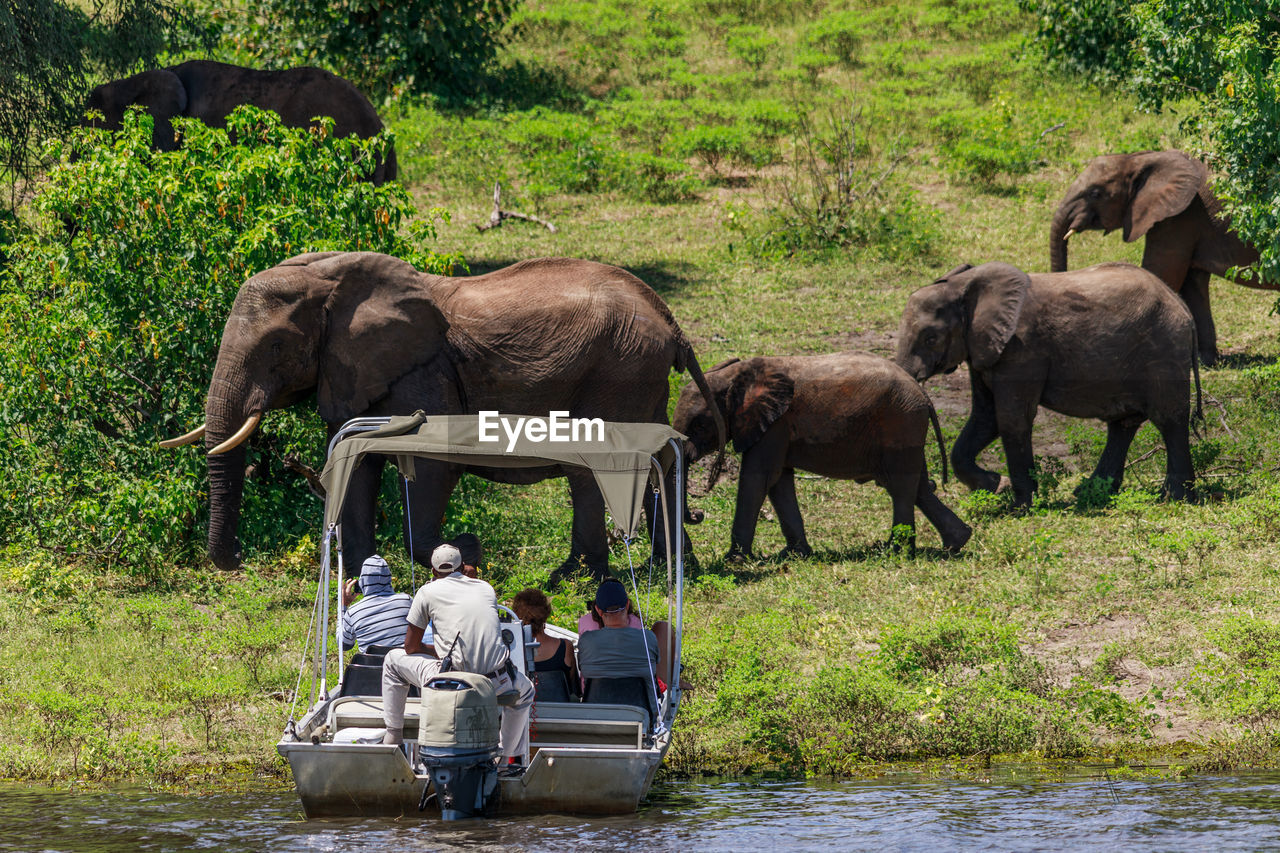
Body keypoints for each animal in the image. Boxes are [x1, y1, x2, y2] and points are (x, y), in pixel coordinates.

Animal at [161, 249, 727, 573]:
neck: (331, 282)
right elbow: (356, 463)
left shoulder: (421, 374)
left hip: (620, 368)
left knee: (598, 467)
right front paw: (362, 575)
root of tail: (670, 319)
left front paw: (464, 550)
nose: (235, 560)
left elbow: (431, 466)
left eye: (276, 346)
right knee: (653, 463)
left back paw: (578, 576)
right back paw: (670, 570)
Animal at [670, 350, 967, 558]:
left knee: (902, 486)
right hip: (906, 429)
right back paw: (956, 543)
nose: (698, 514)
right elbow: (778, 482)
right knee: (918, 487)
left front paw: (735, 559)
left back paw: (895, 550)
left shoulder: (775, 424)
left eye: (698, 425)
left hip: (901, 423)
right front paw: (795, 554)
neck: (736, 376)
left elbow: (758, 478)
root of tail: (925, 396)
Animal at [896, 261, 1203, 504]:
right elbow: (985, 418)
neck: (962, 286)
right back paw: (1091, 494)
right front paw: (998, 486)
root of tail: (1182, 307)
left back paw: (1176, 498)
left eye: (930, 338)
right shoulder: (982, 350)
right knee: (1123, 424)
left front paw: (1019, 506)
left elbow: (1011, 419)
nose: (935, 484)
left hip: (1164, 351)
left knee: (1169, 419)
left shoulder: (1022, 349)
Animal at [1049, 149, 1269, 361]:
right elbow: (1193, 285)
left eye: (1095, 193)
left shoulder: (1181, 216)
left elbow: (1162, 273)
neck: (1141, 158)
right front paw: (1206, 361)